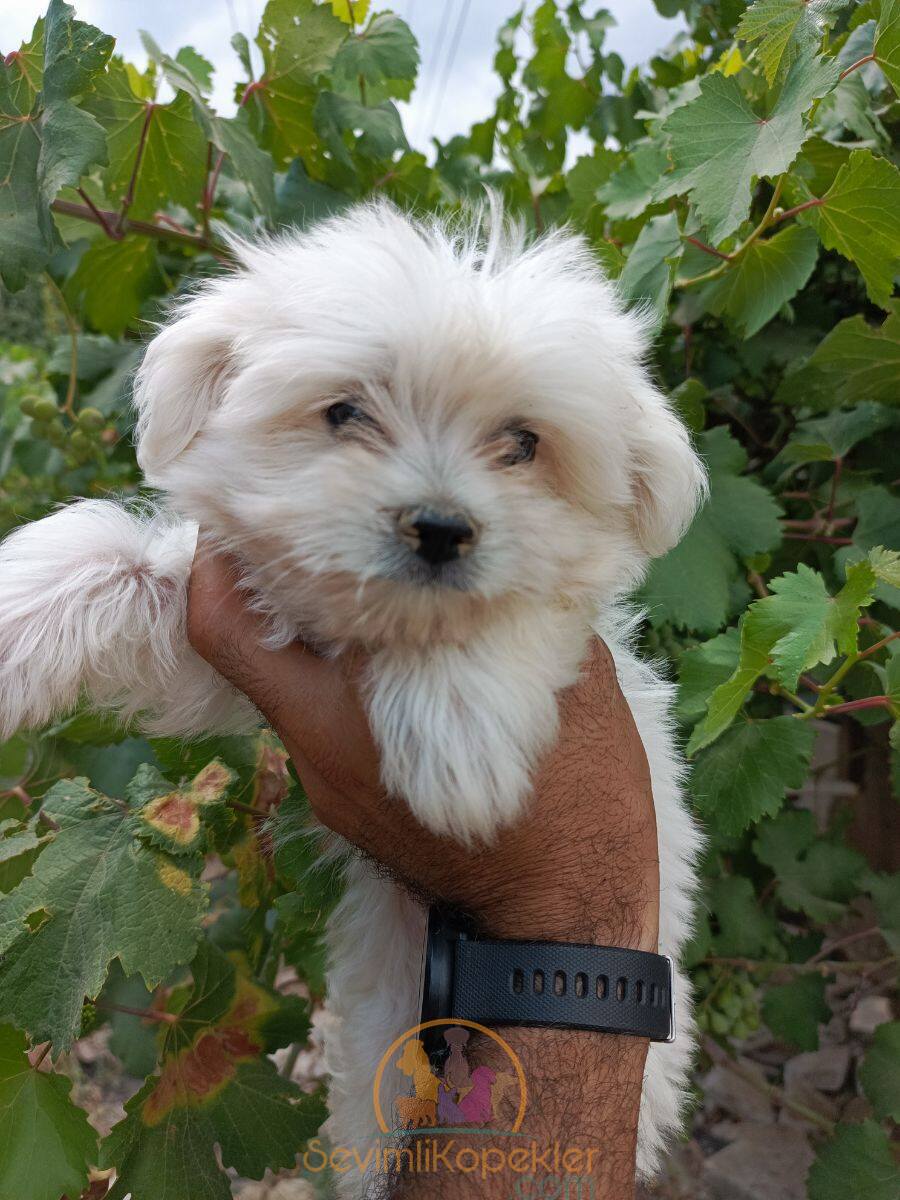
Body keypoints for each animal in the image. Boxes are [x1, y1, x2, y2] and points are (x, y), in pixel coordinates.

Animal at [0, 204, 710, 1190]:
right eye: (345, 413)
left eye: (523, 443)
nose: (442, 528)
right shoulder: (231, 641)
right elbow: (112, 559)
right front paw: (17, 613)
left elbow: (513, 616)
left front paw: (458, 738)